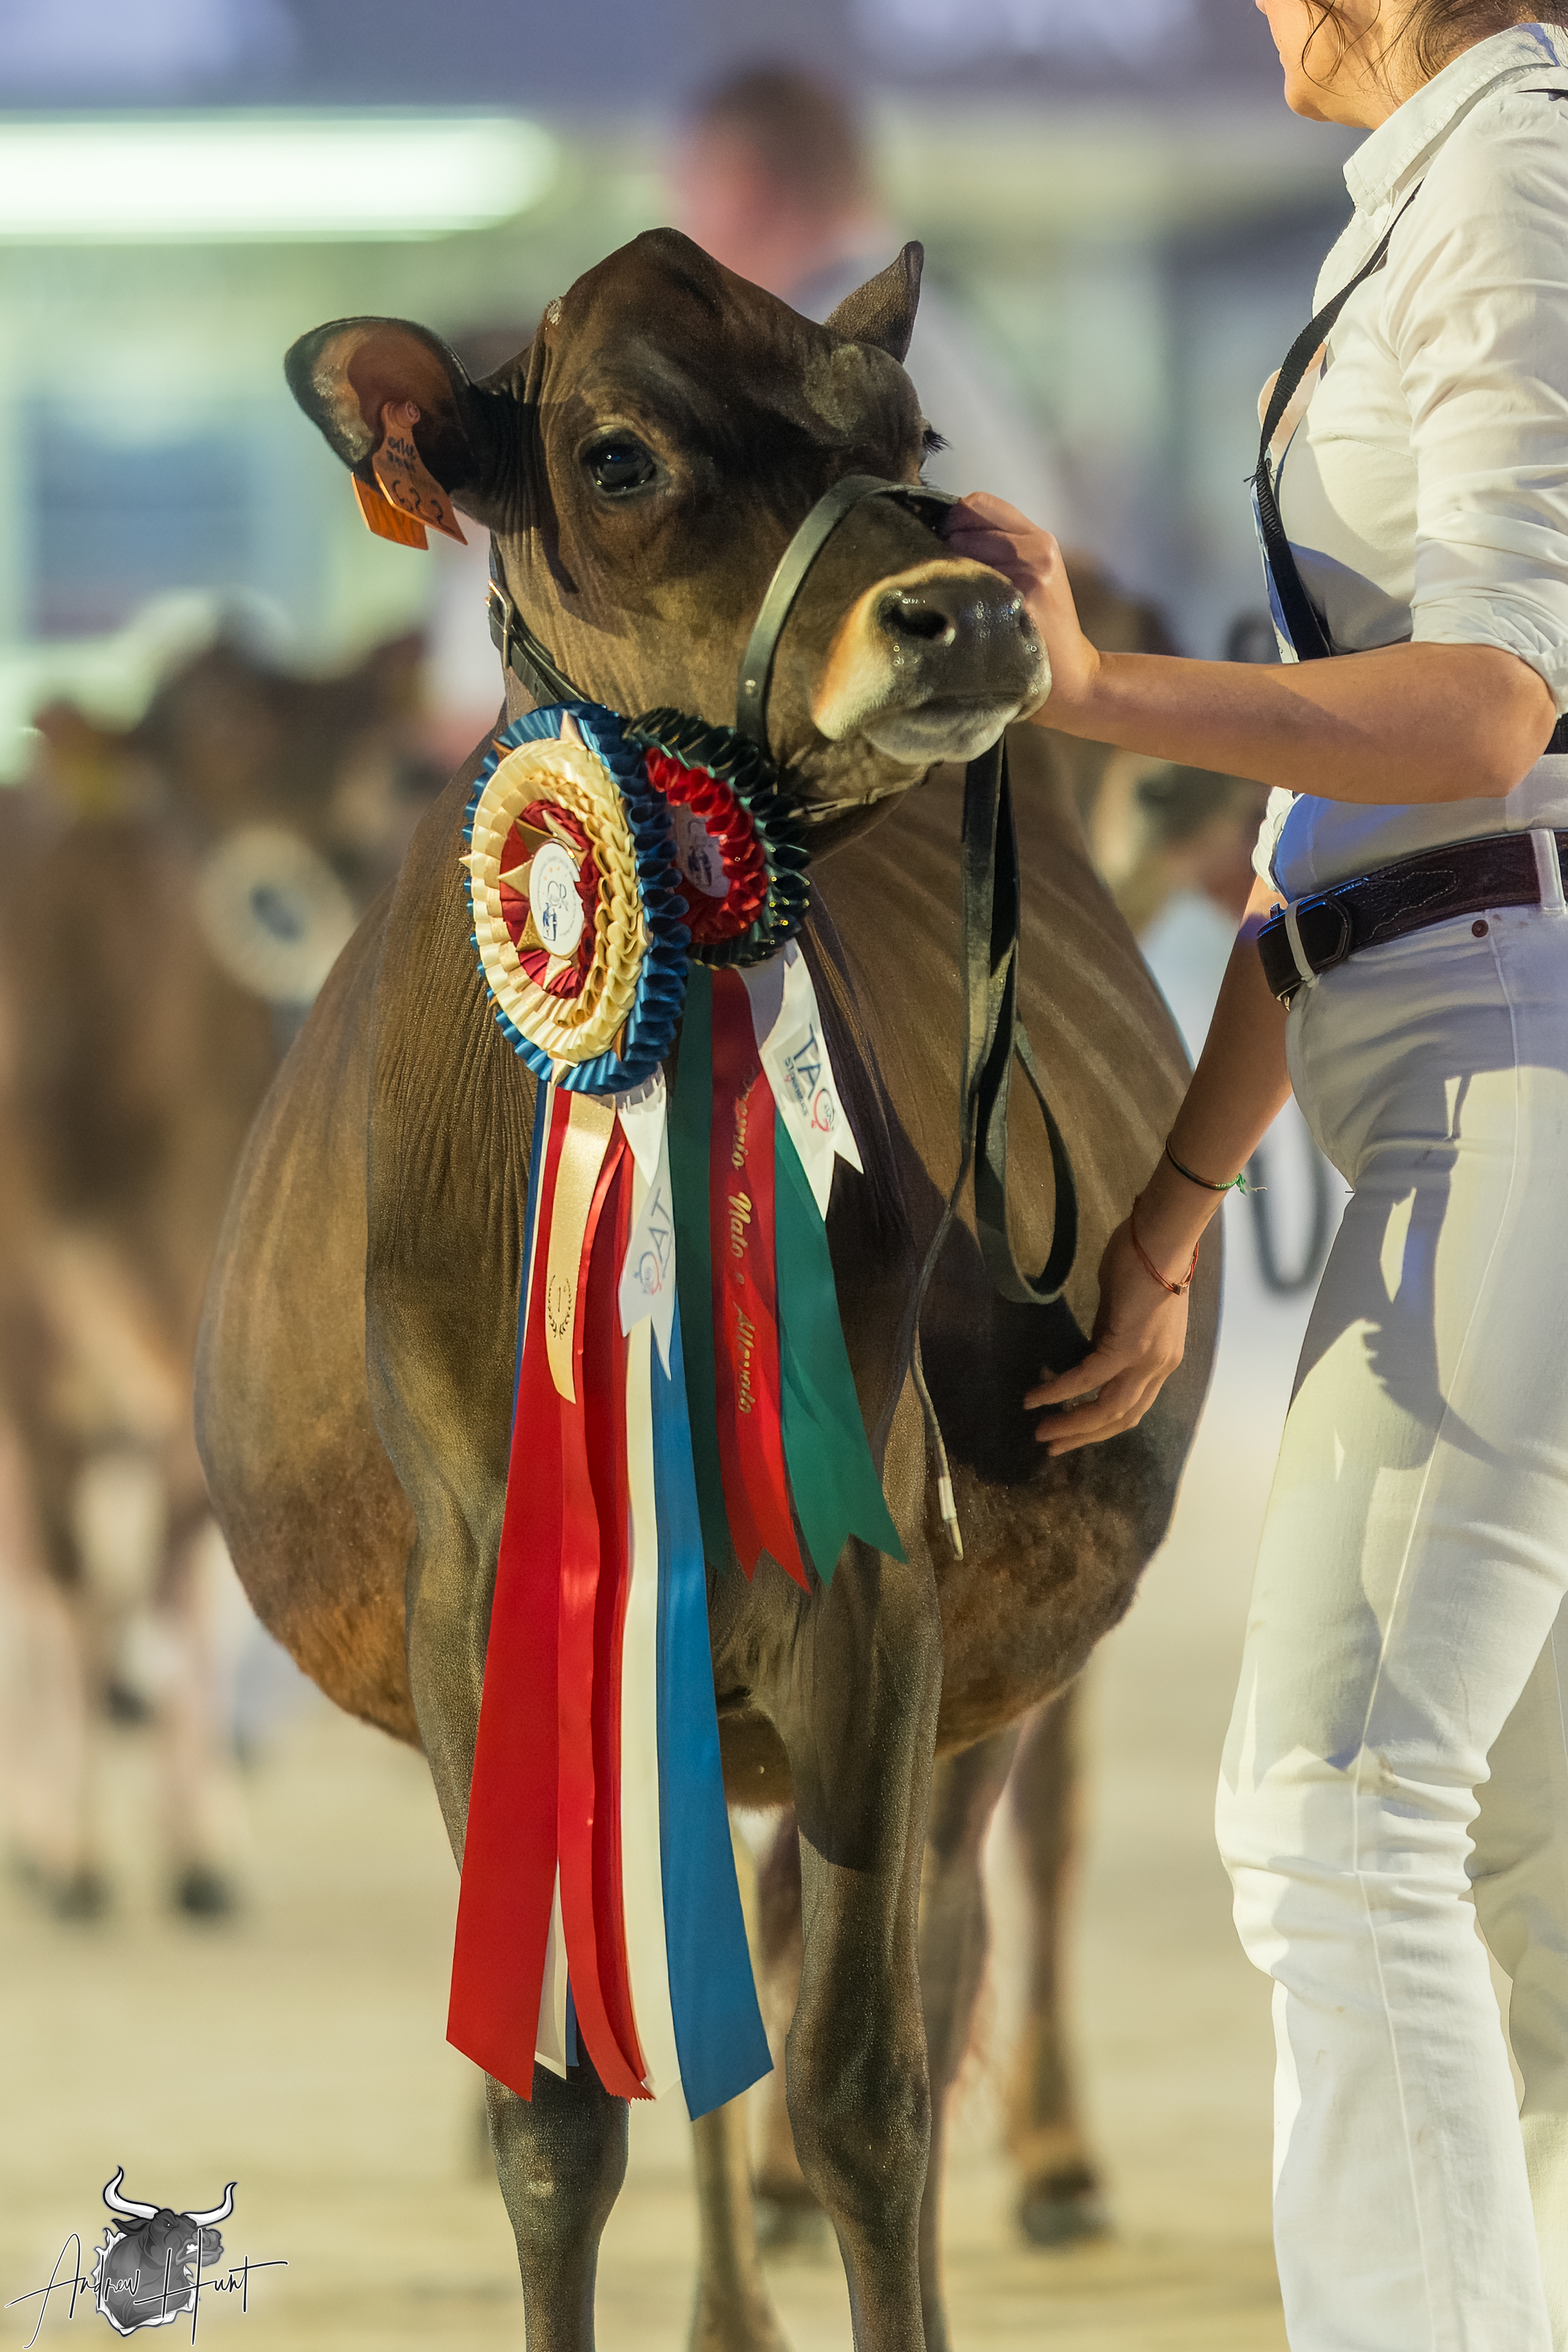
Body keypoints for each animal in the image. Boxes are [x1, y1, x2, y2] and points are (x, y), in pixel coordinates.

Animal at [196, 229, 1217, 2351]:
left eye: (908, 434)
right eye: (618, 454)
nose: (965, 608)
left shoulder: (882, 1587)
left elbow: (861, 2075)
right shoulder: (483, 1605)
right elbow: (561, 2101)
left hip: (983, 1678)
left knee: (923, 1941)